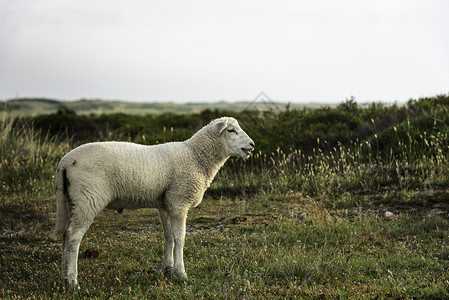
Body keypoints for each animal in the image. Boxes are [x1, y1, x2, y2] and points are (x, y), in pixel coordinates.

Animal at [54, 116, 254, 288]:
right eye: (231, 130)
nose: (252, 145)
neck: (196, 157)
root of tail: (65, 161)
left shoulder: (166, 203)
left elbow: (169, 236)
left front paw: (167, 268)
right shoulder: (179, 201)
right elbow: (180, 238)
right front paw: (181, 272)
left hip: (69, 200)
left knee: (65, 235)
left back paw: (64, 277)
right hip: (88, 198)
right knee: (73, 236)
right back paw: (72, 281)